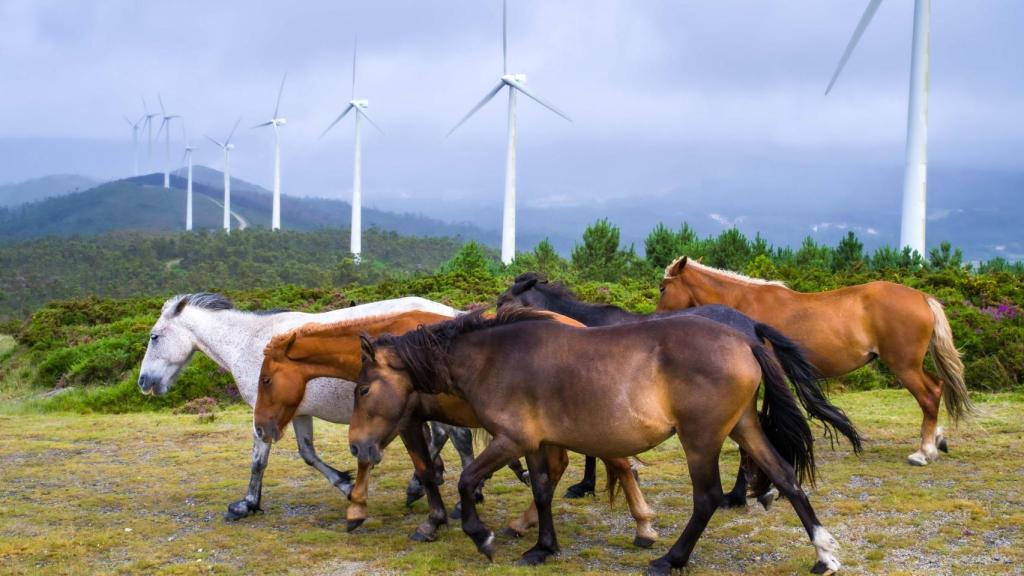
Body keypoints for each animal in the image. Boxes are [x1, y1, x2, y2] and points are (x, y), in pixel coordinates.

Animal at [136, 291, 475, 524]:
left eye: (154, 337)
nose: (143, 382)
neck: (249, 342)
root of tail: (453, 315)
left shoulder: (265, 412)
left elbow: (259, 460)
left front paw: (246, 504)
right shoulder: (298, 413)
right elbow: (308, 454)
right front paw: (346, 485)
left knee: (457, 438)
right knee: (442, 436)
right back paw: (422, 485)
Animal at [251, 309, 659, 545]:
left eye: (267, 380)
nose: (262, 428)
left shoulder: (406, 420)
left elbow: (419, 466)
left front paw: (426, 518)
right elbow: (392, 457)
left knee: (616, 464)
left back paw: (643, 525)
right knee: (563, 468)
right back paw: (525, 522)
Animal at [352, 307, 856, 569]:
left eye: (361, 389)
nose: (358, 446)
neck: (496, 356)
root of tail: (744, 338)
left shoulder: (511, 440)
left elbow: (465, 481)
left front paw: (483, 536)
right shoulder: (537, 445)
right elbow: (541, 490)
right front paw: (543, 547)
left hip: (701, 439)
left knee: (709, 497)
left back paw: (670, 558)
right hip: (744, 428)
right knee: (786, 479)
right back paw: (824, 554)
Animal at [659, 255, 970, 467]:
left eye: (663, 288)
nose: (658, 316)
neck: (744, 303)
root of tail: (922, 297)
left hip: (904, 366)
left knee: (929, 395)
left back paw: (923, 452)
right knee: (937, 387)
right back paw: (936, 440)